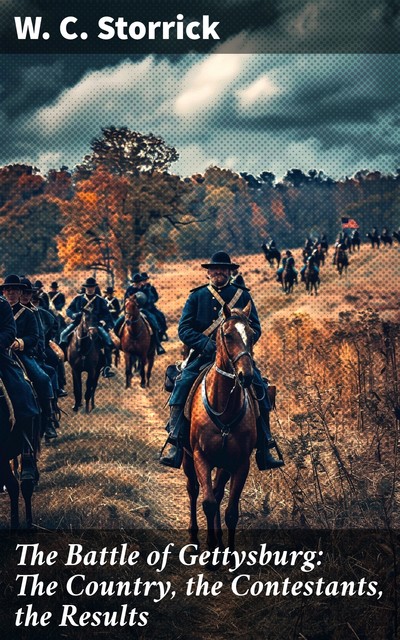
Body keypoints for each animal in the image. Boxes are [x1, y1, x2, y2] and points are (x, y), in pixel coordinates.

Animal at [184, 302, 256, 552]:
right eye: (228, 335)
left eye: (252, 335)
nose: (246, 376)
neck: (224, 407)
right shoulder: (201, 457)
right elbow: (207, 503)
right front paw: (210, 545)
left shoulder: (240, 463)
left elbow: (230, 511)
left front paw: (227, 550)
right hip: (187, 458)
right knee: (194, 490)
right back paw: (195, 536)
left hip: (224, 464)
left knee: (217, 492)